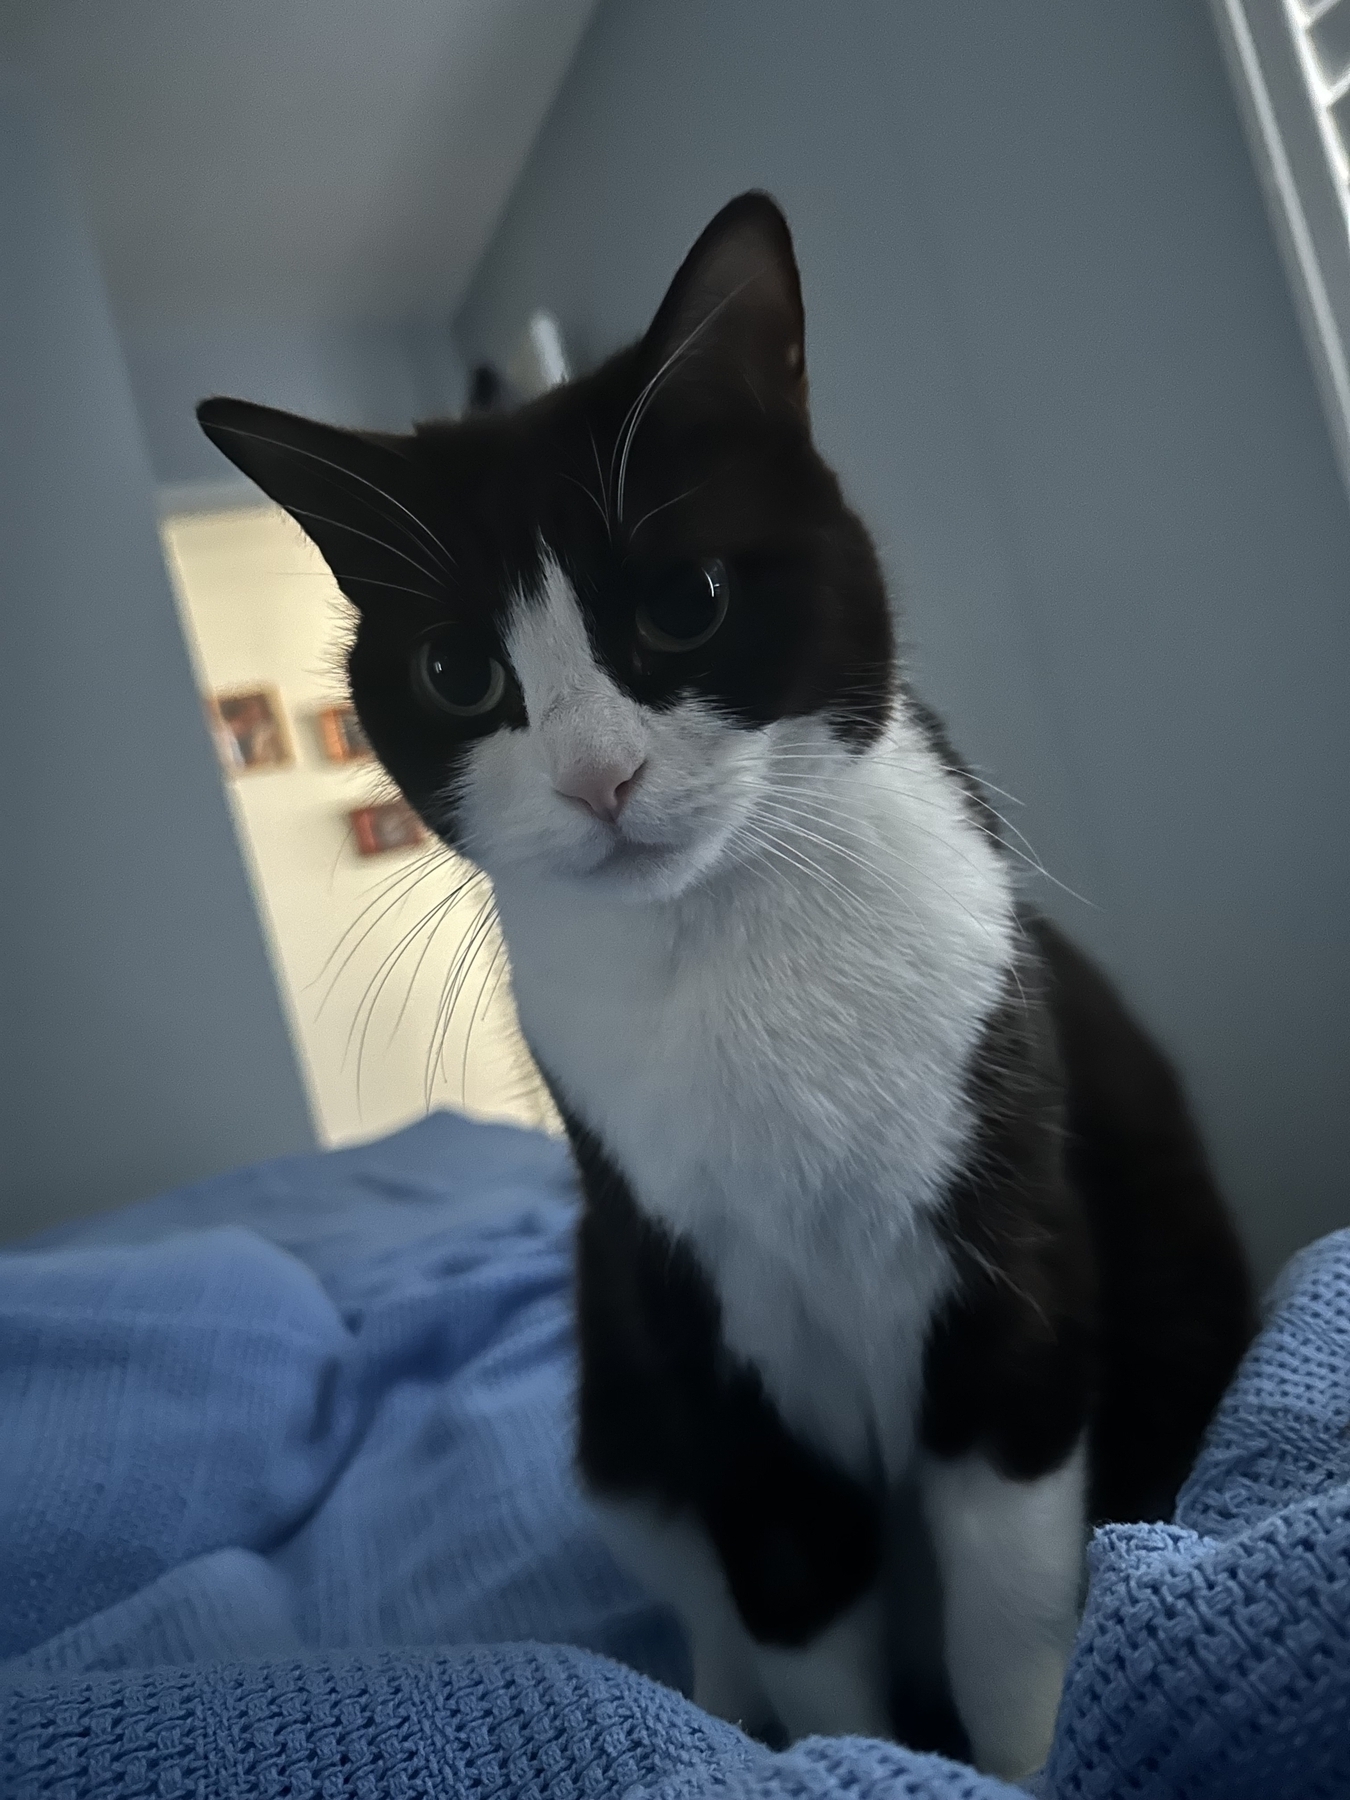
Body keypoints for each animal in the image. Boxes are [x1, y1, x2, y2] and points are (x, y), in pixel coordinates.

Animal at [198, 193, 1260, 1771]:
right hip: (608, 1369)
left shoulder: (1005, 1258)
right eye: (459, 674)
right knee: (695, 1584)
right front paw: (838, 1760)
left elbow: (1008, 1610)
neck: (728, 958)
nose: (599, 775)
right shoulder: (684, 1299)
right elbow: (791, 1593)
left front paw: (1018, 1764)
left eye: (688, 599)